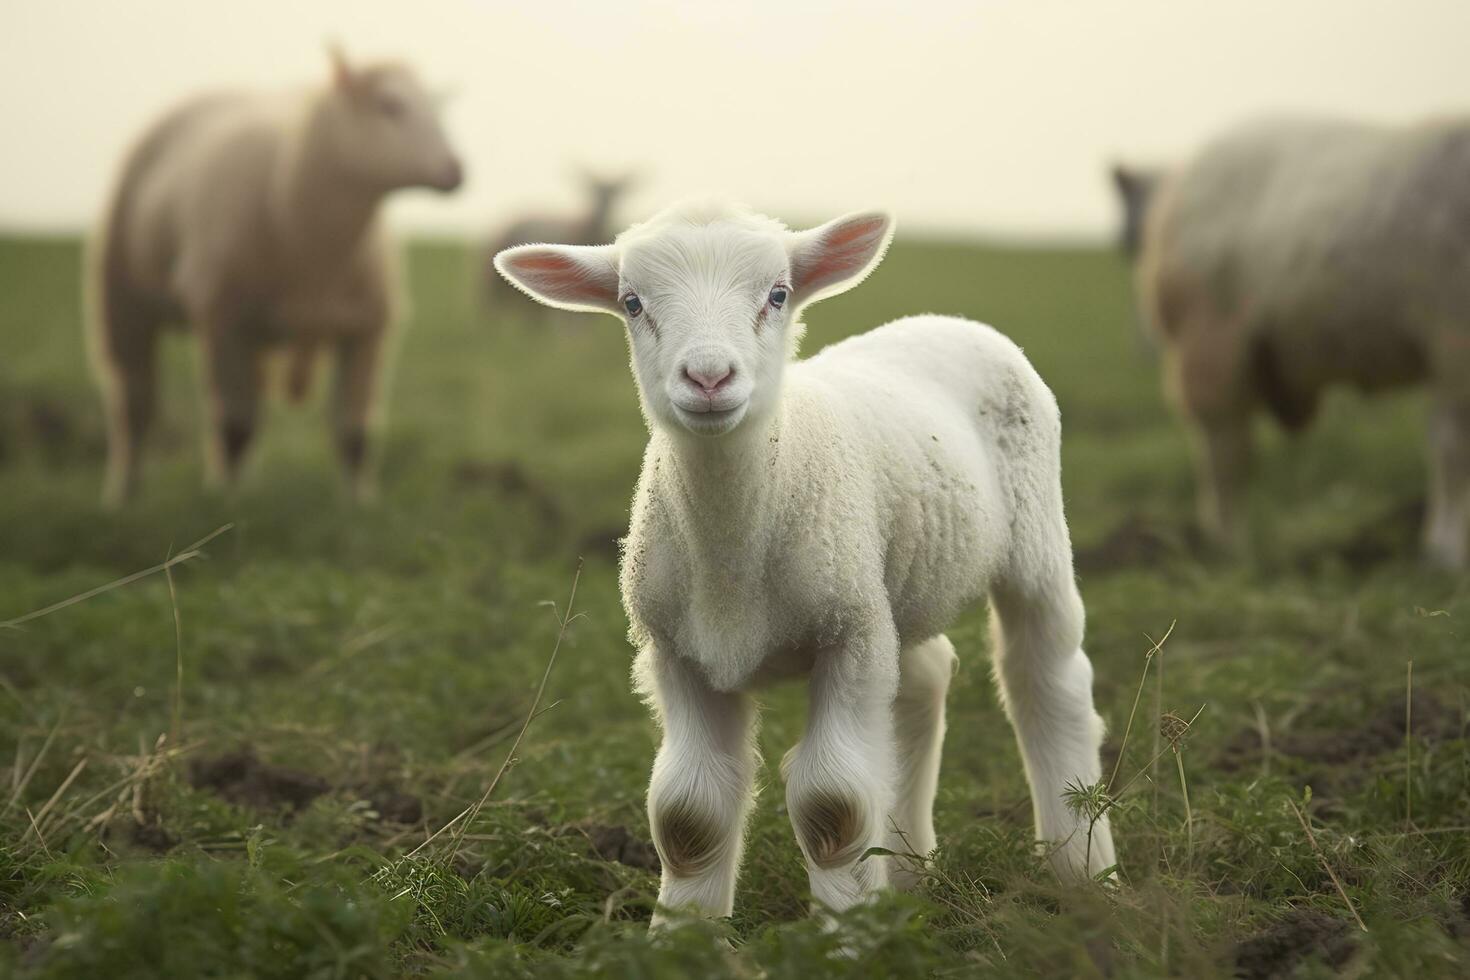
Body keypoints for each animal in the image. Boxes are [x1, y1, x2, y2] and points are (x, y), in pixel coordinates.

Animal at [91, 45, 458, 505]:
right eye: (389, 105)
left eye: (438, 107)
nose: (457, 169)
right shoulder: (222, 319)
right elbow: (234, 426)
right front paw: (224, 502)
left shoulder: (368, 330)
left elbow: (355, 434)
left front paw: (358, 505)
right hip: (122, 300)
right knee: (135, 405)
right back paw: (123, 495)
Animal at [493, 201, 1111, 928]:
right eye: (632, 302)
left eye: (778, 294)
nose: (709, 378)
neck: (732, 562)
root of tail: (946, 320)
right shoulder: (676, 652)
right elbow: (687, 815)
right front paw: (681, 937)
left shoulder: (849, 637)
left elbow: (832, 804)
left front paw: (846, 936)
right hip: (894, 582)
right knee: (925, 677)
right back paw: (907, 872)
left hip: (1031, 541)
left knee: (1046, 676)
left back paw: (1082, 869)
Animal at [1140, 117, 1470, 570]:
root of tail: (1180, 178)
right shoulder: (1452, 341)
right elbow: (1452, 453)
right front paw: (1447, 555)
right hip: (1210, 347)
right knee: (1225, 455)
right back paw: (1230, 549)